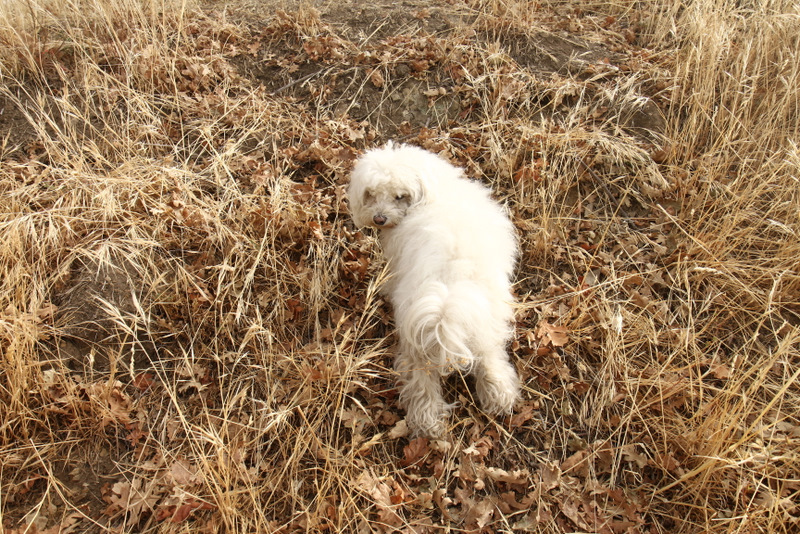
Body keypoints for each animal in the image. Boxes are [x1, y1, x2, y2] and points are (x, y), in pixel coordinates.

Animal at [348, 143, 519, 436]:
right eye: (372, 193)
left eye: (400, 196)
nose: (379, 219)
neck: (431, 194)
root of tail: (451, 285)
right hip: (485, 315)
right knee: (489, 351)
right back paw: (498, 393)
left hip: (415, 327)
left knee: (421, 376)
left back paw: (426, 419)